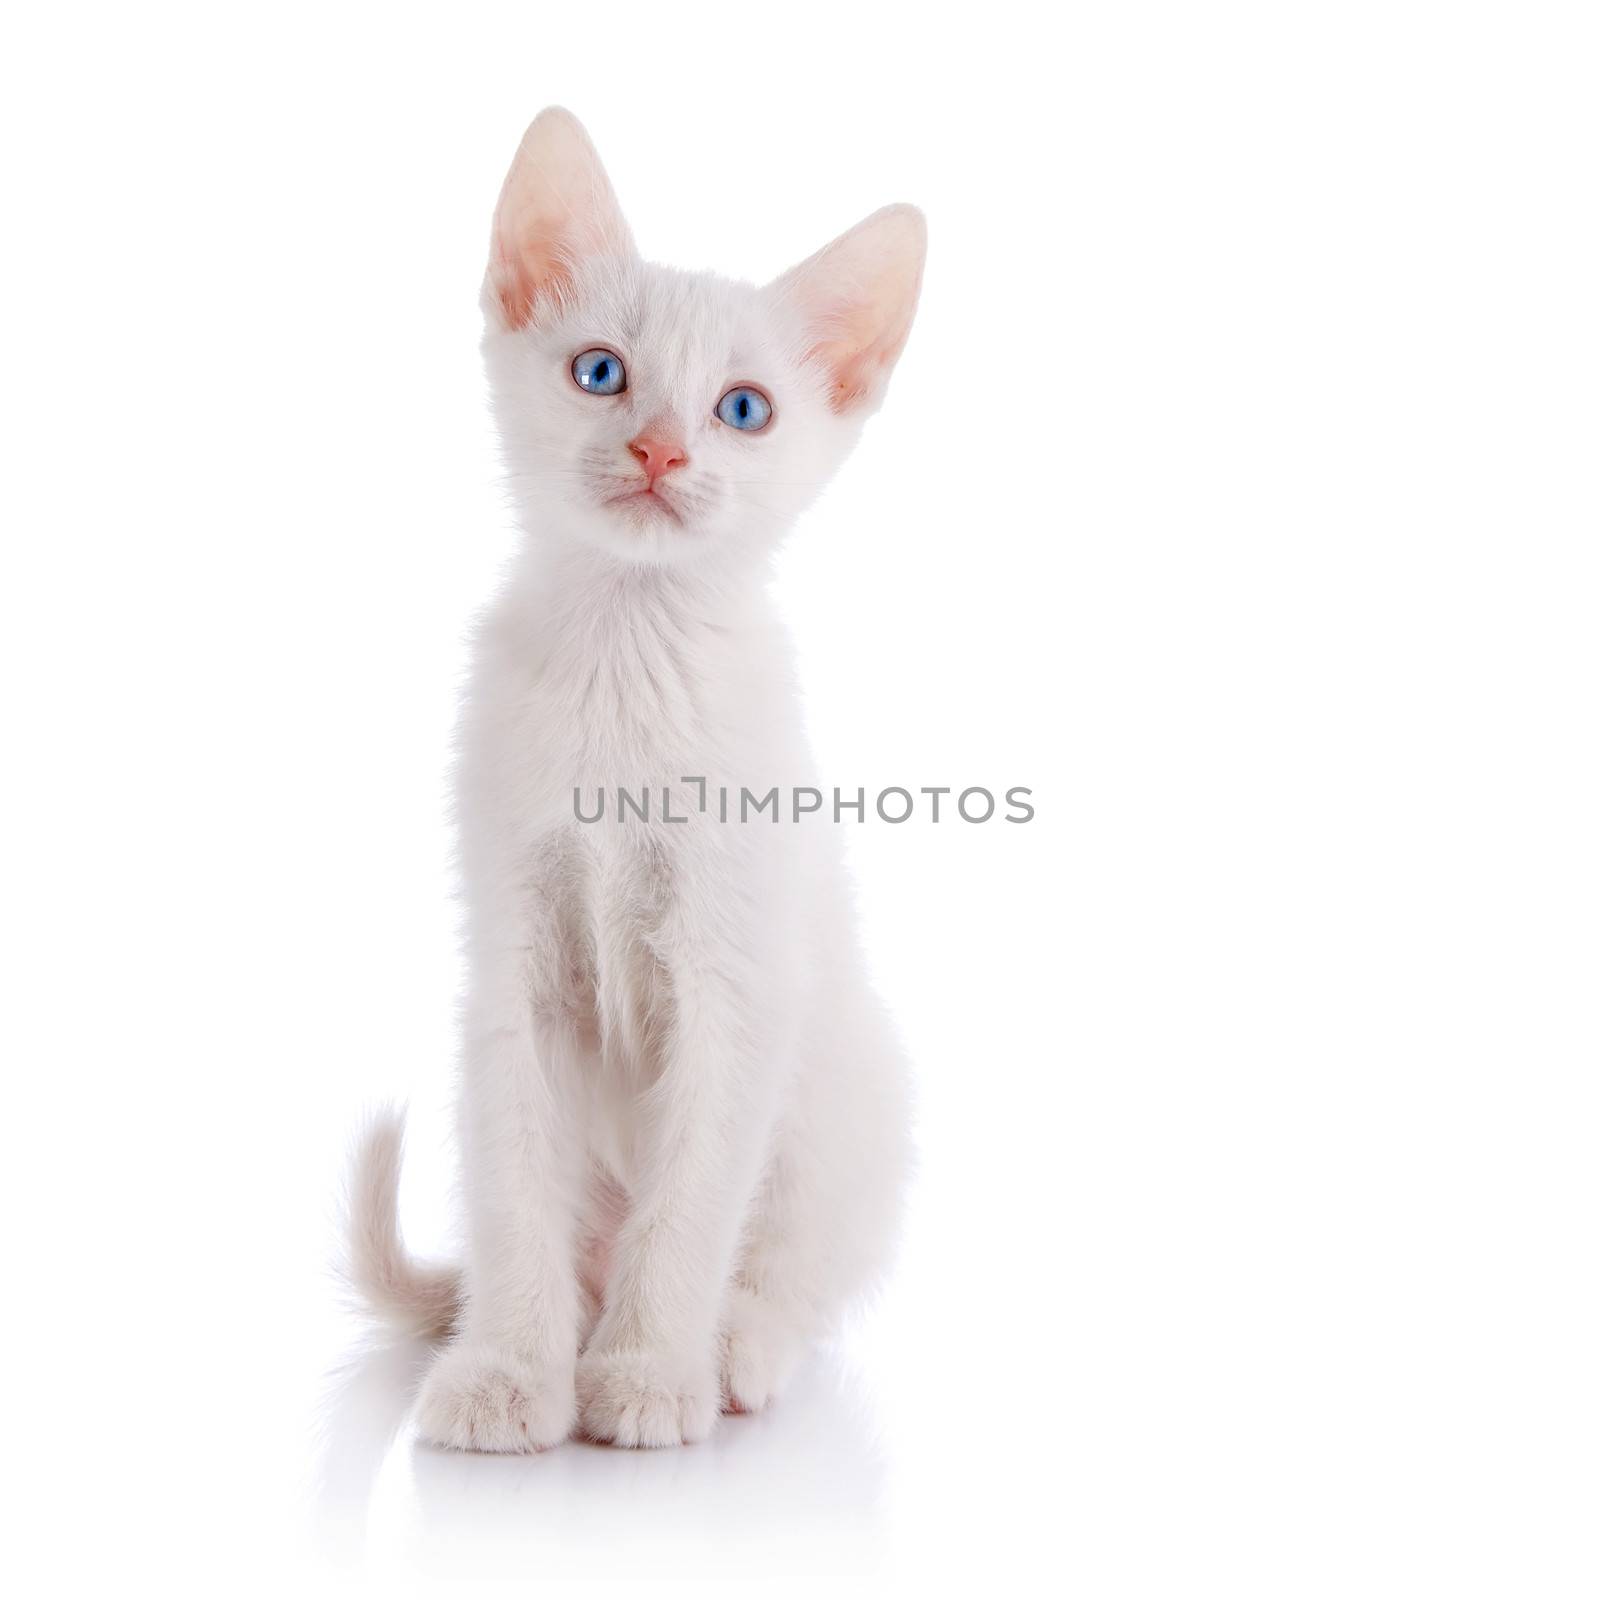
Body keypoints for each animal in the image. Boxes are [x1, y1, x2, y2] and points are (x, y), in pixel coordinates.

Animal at [350, 103, 928, 1452]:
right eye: (602, 372)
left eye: (744, 408)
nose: (661, 450)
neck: (624, 648)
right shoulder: (511, 973)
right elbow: (514, 1192)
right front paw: (510, 1372)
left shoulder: (735, 980)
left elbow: (692, 1206)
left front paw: (651, 1372)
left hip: (853, 1103)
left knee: (792, 1273)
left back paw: (736, 1350)